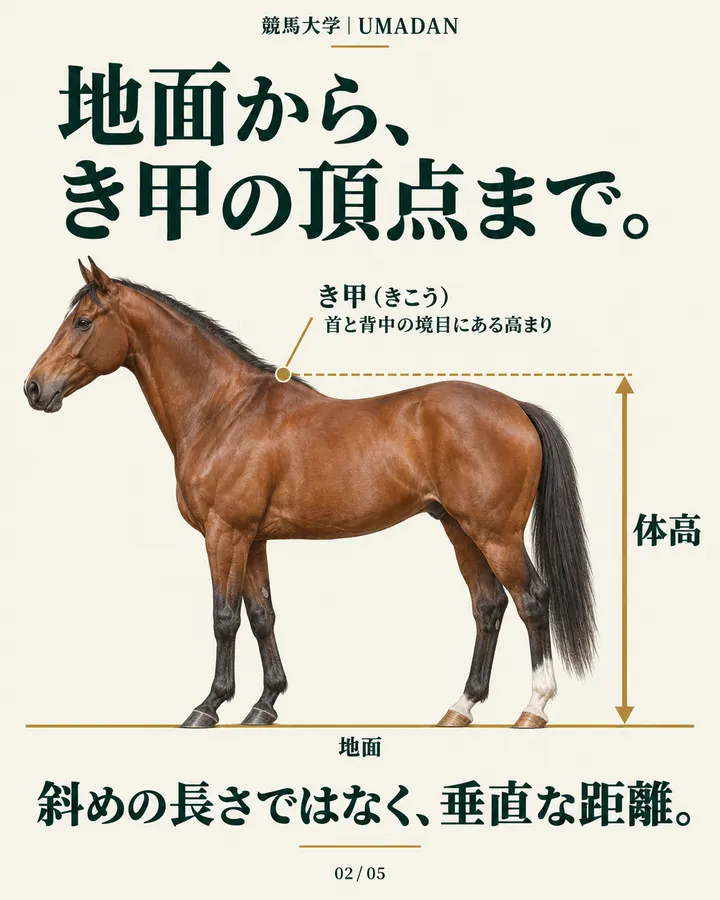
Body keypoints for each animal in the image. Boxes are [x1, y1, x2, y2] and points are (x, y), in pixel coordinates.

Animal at [24, 258, 596, 728]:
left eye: (82, 321)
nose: (33, 388)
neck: (224, 412)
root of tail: (515, 406)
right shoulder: (253, 539)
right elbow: (262, 617)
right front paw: (264, 704)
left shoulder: (224, 534)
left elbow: (224, 618)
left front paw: (209, 706)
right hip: (459, 529)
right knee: (488, 605)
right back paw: (461, 707)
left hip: (495, 532)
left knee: (531, 599)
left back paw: (533, 709)